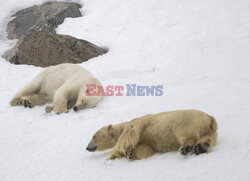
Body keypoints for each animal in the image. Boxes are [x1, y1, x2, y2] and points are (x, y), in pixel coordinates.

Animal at [86, 109, 217, 160]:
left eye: (94, 136)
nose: (87, 147)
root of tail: (210, 118)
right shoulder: (147, 140)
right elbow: (146, 148)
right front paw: (131, 152)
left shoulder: (138, 122)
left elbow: (129, 133)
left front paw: (112, 156)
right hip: (210, 130)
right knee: (208, 138)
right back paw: (201, 147)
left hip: (185, 120)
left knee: (185, 132)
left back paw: (186, 147)